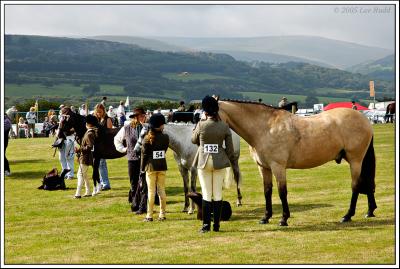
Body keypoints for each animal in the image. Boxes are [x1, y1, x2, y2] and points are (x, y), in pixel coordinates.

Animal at [217, 98, 376, 224]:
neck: (266, 127)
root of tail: (364, 119)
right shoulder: (263, 167)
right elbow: (267, 191)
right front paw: (266, 217)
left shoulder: (278, 167)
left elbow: (282, 192)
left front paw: (284, 219)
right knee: (367, 182)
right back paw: (370, 211)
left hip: (355, 161)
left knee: (355, 186)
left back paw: (347, 216)